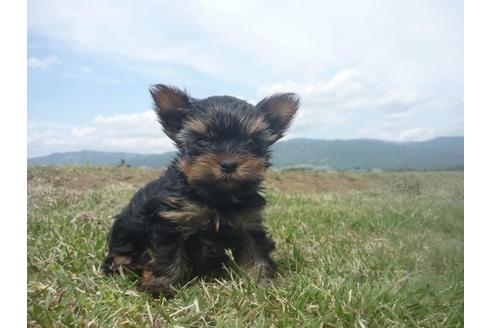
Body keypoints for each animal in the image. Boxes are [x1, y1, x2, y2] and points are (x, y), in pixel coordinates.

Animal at [102, 84, 298, 294]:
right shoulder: (172, 222)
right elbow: (167, 256)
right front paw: (160, 286)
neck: (218, 197)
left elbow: (256, 251)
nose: (229, 164)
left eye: (251, 142)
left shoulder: (248, 223)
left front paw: (262, 281)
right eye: (202, 141)